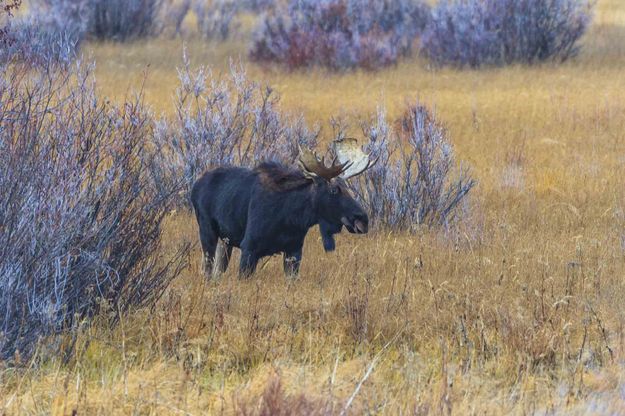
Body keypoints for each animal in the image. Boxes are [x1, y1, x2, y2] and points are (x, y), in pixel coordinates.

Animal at [190, 140, 376, 280]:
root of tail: (196, 185)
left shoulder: (294, 251)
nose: (363, 219)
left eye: (347, 188)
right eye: (334, 190)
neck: (291, 217)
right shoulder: (249, 248)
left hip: (225, 242)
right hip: (207, 233)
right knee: (207, 270)